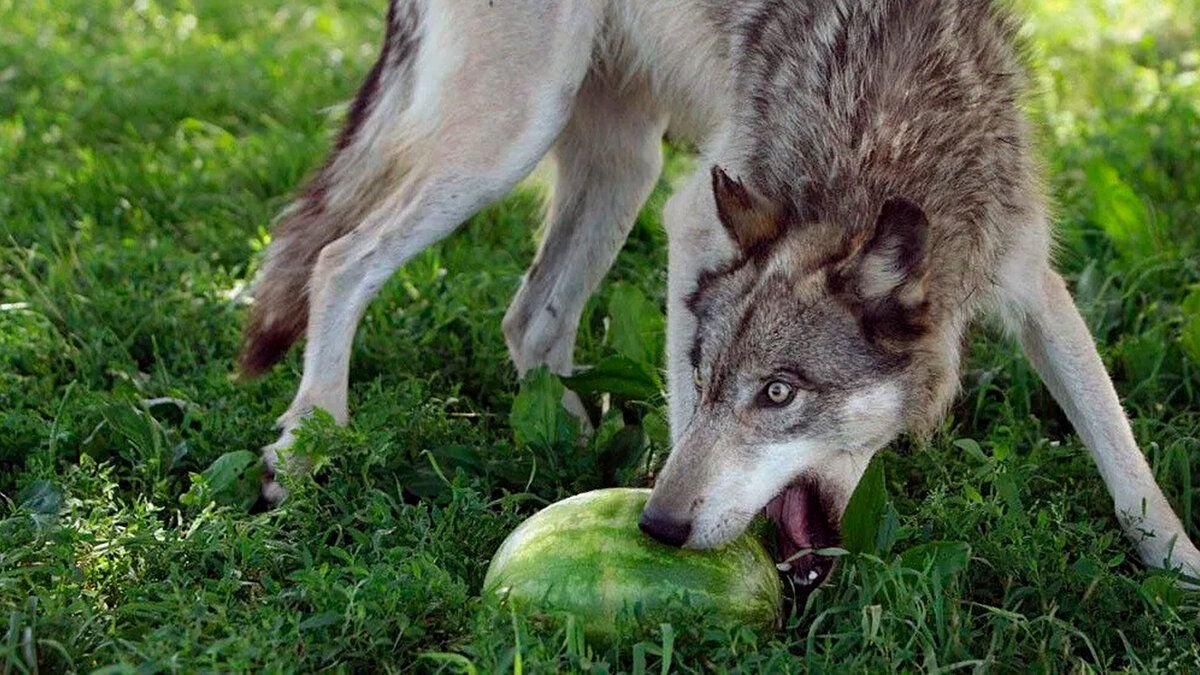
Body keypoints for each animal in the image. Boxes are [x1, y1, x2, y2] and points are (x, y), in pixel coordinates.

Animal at [236, 0, 1200, 590]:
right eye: (708, 381)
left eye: (778, 394)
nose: (657, 526)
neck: (882, 134)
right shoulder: (693, 219)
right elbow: (679, 417)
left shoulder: (1030, 277)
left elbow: (1126, 460)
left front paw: (1179, 567)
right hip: (510, 141)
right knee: (340, 259)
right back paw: (307, 439)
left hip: (620, 164)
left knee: (529, 316)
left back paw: (564, 439)